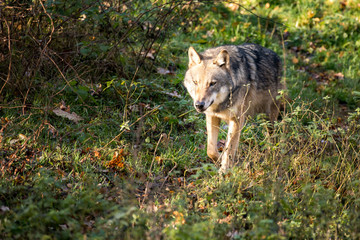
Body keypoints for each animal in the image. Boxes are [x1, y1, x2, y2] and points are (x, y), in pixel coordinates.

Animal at [184, 43, 282, 173]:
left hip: (269, 116)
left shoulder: (237, 119)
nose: (199, 105)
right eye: (195, 82)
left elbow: (229, 149)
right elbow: (211, 150)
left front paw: (224, 171)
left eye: (212, 83)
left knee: (272, 138)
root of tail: (276, 55)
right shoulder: (212, 116)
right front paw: (219, 160)